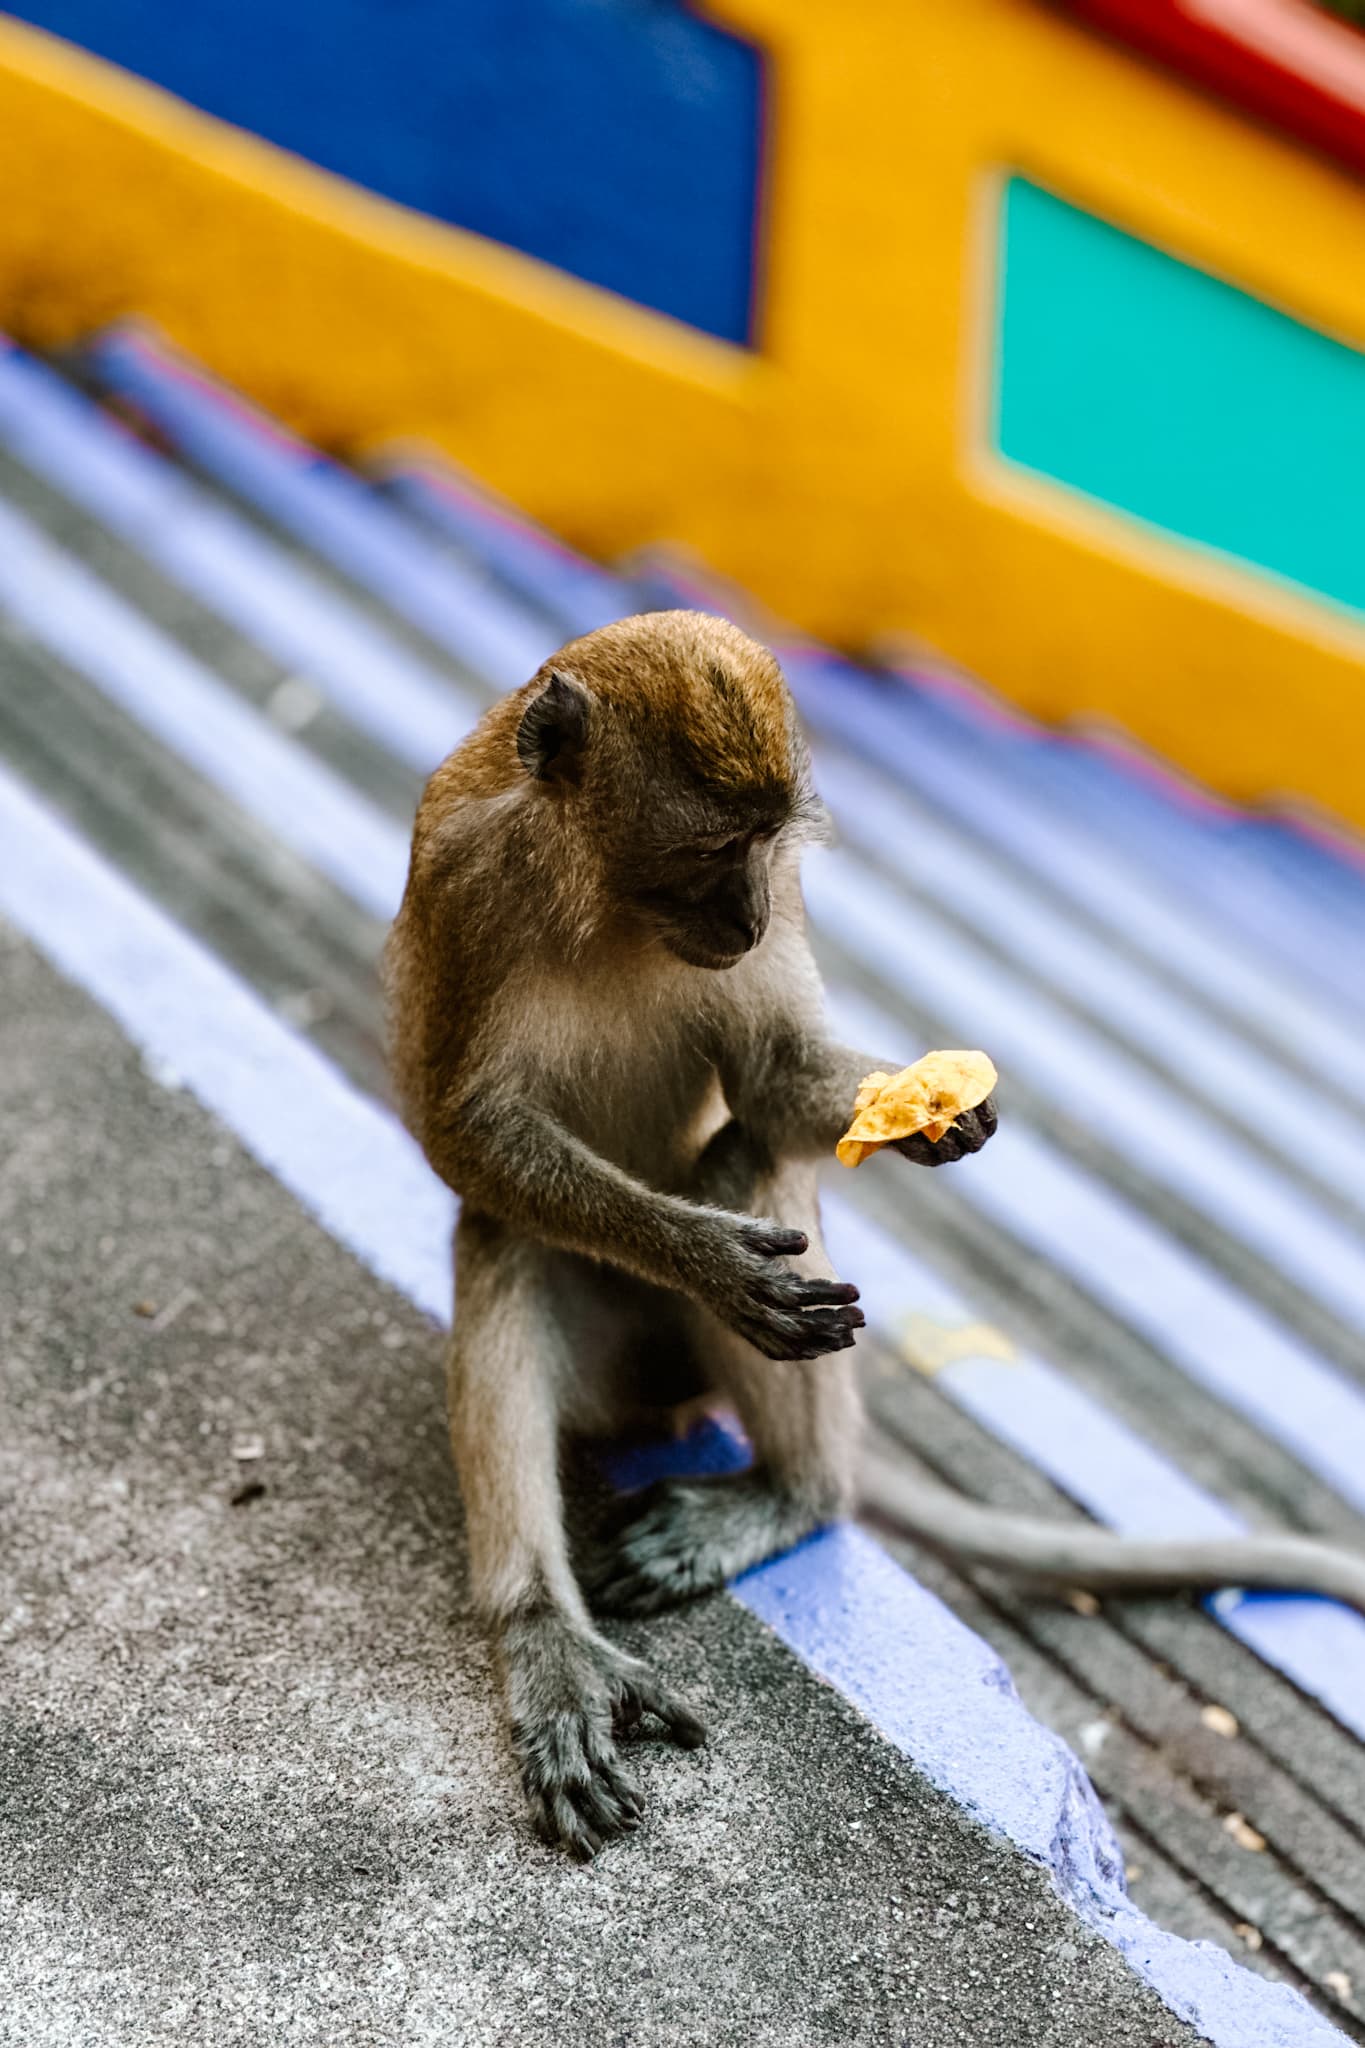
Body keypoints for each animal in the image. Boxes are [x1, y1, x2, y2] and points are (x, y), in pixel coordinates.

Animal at [382, 602, 1365, 1859]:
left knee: (746, 1154)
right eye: (710, 847)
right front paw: (705, 1256)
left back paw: (796, 1495)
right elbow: (463, 1132)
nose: (750, 913)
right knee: (502, 1236)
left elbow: (775, 1078)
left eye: (767, 844)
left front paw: (936, 1113)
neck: (601, 899)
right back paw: (546, 1631)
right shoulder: (469, 882)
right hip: (613, 1366)